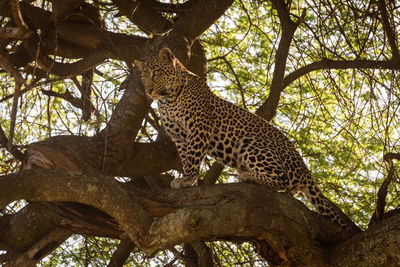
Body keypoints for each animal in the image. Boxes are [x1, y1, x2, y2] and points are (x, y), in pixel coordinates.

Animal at [135, 47, 360, 233]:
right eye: (143, 77)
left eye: (156, 73)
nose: (147, 91)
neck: (168, 99)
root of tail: (306, 171)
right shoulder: (179, 137)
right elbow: (185, 157)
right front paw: (187, 180)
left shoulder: (199, 128)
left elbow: (192, 158)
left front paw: (187, 179)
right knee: (288, 189)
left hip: (252, 143)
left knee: (281, 179)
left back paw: (246, 176)